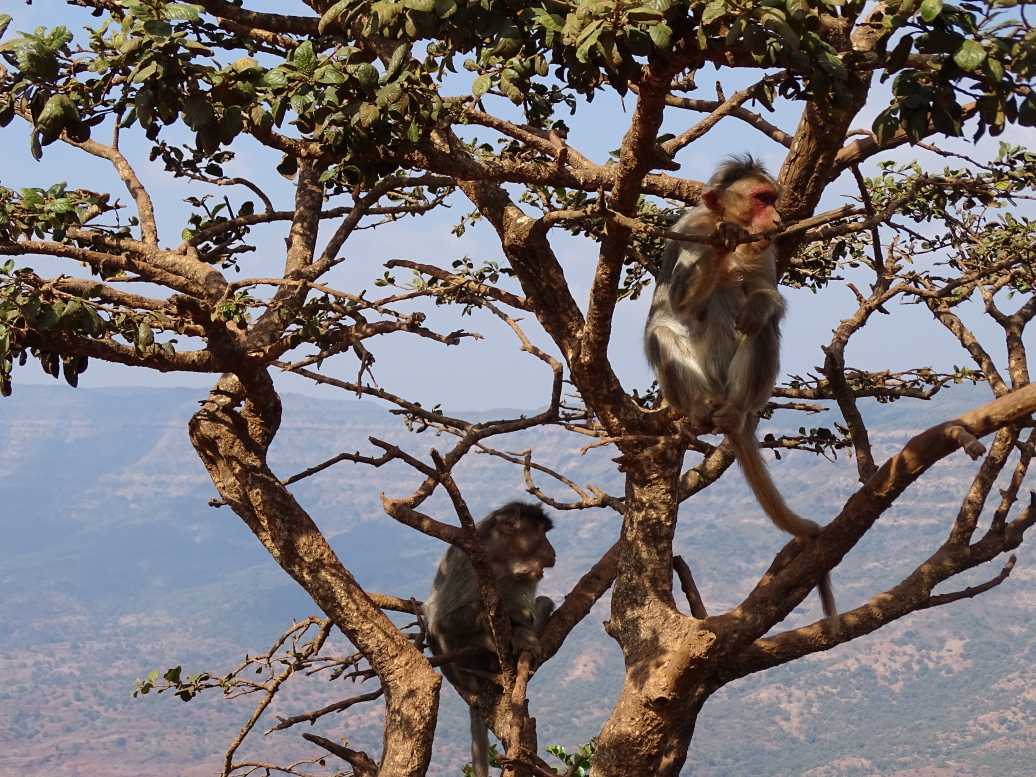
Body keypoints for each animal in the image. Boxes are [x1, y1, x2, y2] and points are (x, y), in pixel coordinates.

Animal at [423, 502, 556, 777]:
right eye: (542, 534)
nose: (553, 553)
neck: (501, 564)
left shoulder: (520, 578)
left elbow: (530, 612)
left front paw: (523, 634)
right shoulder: (466, 566)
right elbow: (442, 621)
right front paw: (511, 616)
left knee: (544, 602)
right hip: (460, 667)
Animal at [643, 154, 838, 633]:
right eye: (760, 198)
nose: (777, 219)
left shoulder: (764, 249)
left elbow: (766, 297)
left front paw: (761, 301)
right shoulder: (689, 231)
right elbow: (677, 296)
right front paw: (725, 237)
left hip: (743, 389)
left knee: (761, 329)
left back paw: (735, 412)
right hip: (691, 387)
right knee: (661, 331)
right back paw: (700, 409)